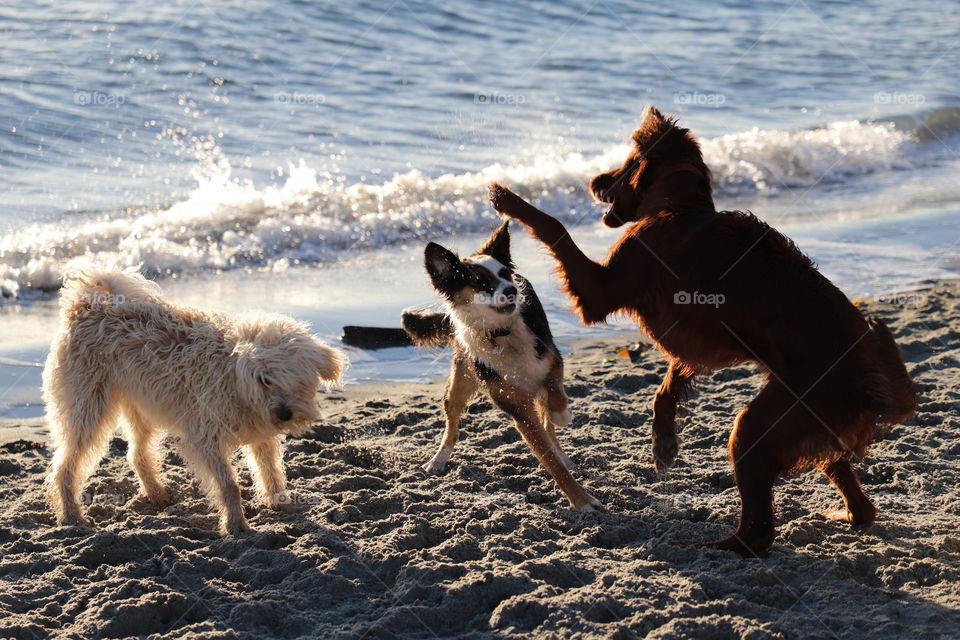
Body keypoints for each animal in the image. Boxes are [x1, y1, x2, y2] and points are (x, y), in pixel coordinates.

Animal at [45, 266, 346, 536]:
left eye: (298, 378)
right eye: (264, 380)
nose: (283, 414)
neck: (233, 377)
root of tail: (88, 306)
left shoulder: (260, 435)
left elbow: (271, 472)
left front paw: (281, 503)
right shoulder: (206, 437)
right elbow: (230, 485)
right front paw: (236, 525)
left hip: (142, 406)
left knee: (137, 454)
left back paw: (156, 493)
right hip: (88, 409)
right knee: (64, 466)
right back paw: (72, 515)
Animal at [488, 106, 916, 556]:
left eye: (625, 165)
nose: (594, 181)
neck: (680, 206)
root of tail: (874, 382)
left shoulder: (601, 291)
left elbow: (554, 226)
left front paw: (507, 197)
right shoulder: (694, 343)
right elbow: (668, 386)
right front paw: (664, 442)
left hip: (766, 424)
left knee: (759, 531)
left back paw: (719, 546)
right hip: (813, 426)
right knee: (855, 495)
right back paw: (846, 515)